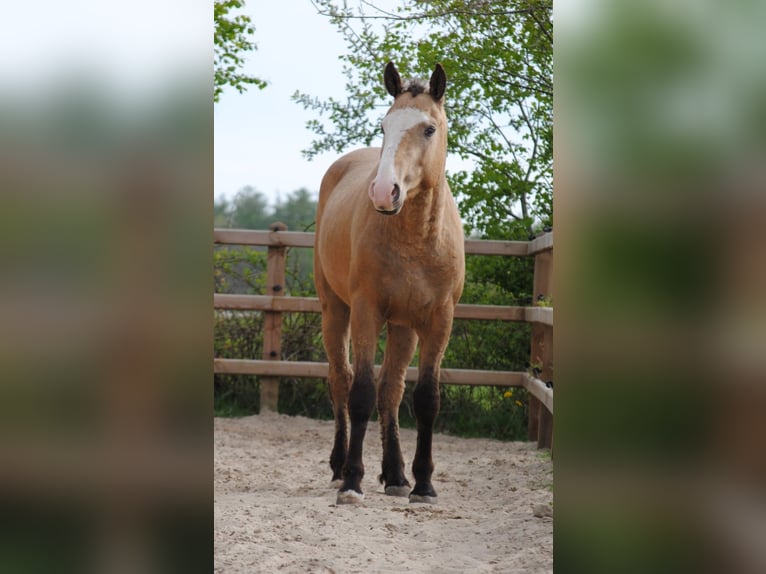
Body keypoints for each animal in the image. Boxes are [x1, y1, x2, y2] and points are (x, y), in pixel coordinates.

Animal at [314, 62, 465, 505]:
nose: (384, 192)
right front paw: (352, 481)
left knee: (392, 390)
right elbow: (361, 391)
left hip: (402, 327)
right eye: (384, 126)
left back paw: (396, 476)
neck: (416, 238)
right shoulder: (366, 311)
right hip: (335, 310)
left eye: (429, 128)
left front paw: (423, 485)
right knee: (341, 380)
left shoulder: (438, 320)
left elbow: (425, 398)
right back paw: (339, 467)